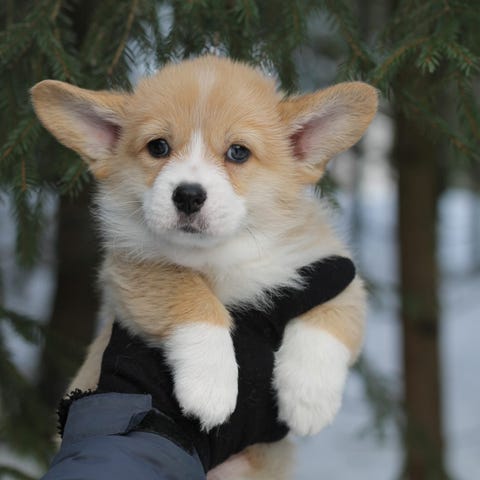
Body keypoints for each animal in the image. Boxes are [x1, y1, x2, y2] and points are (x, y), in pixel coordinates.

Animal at [31, 55, 377, 479]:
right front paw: (210, 386)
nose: (188, 196)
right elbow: (190, 295)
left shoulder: (332, 269)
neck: (222, 254)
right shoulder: (134, 268)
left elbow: (331, 318)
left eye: (238, 152)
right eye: (158, 147)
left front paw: (310, 399)